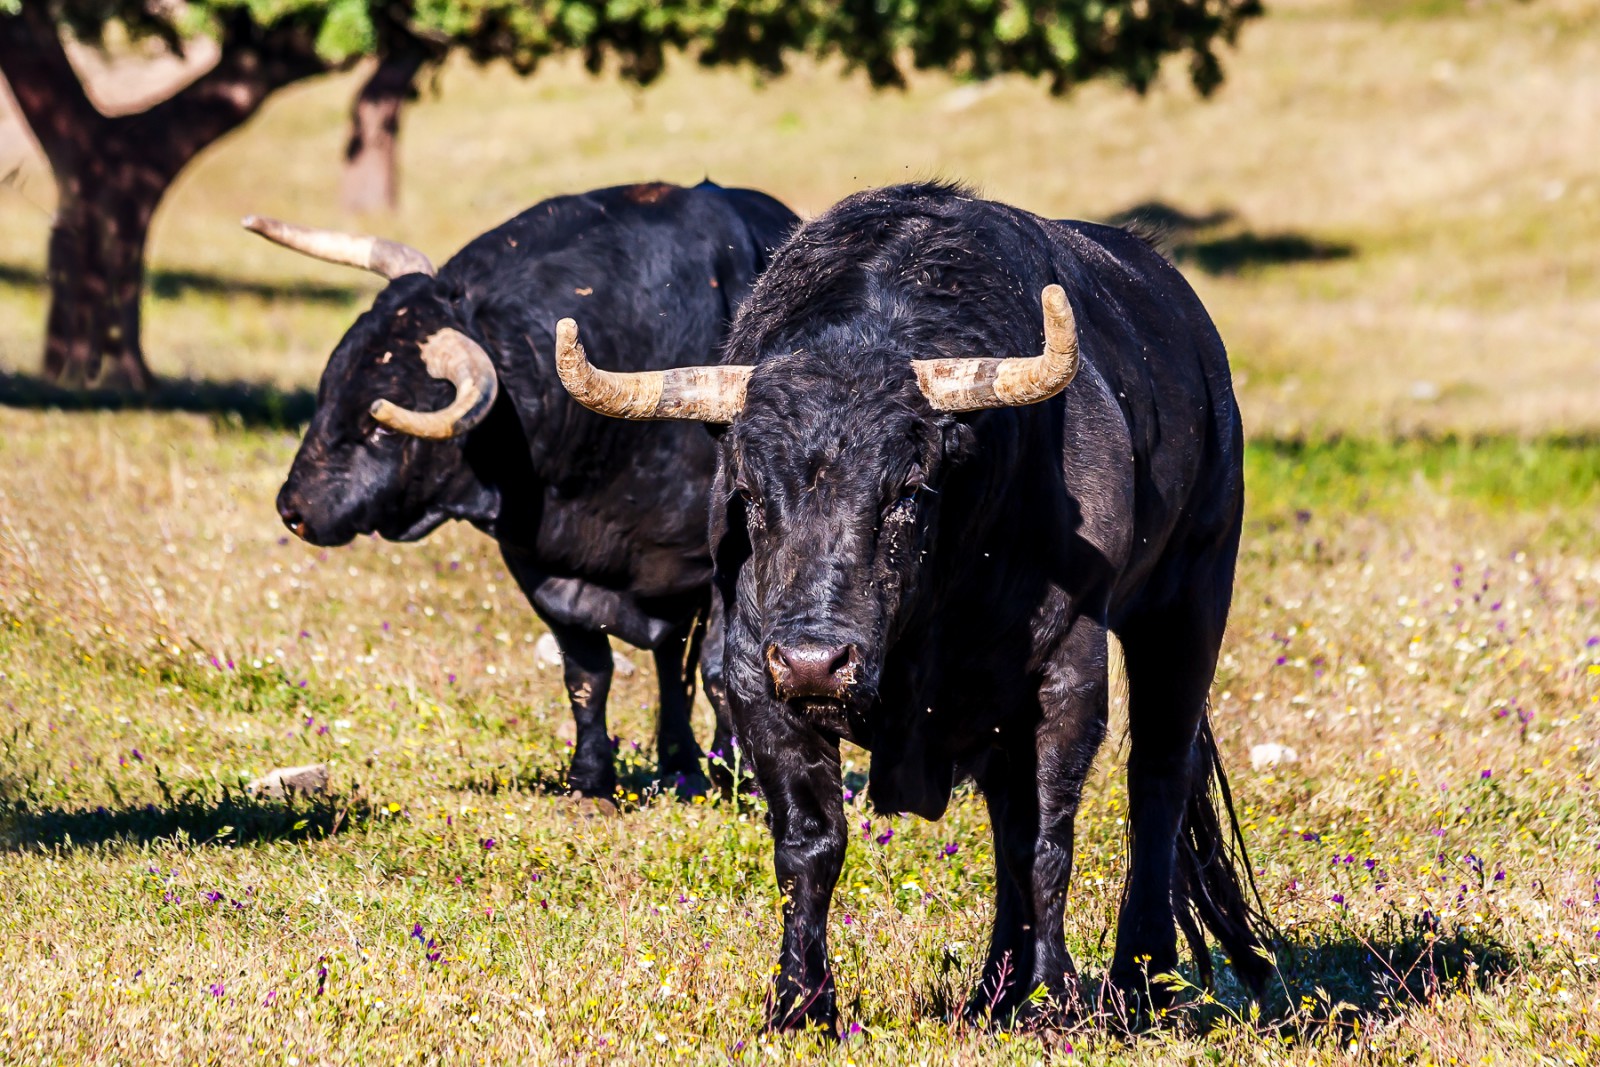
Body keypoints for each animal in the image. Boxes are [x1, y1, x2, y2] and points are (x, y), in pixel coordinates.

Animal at [249, 180, 799, 800]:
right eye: (329, 386)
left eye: (380, 426)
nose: (294, 509)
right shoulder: (542, 569)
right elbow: (587, 673)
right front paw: (591, 779)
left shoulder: (720, 571)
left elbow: (721, 672)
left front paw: (743, 777)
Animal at [553, 182, 1273, 1031]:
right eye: (752, 495)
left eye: (905, 491)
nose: (816, 661)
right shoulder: (755, 677)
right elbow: (811, 839)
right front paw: (798, 1002)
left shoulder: (1068, 667)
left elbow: (1046, 837)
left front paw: (1054, 996)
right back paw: (996, 988)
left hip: (1191, 597)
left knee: (1155, 777)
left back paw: (1138, 978)